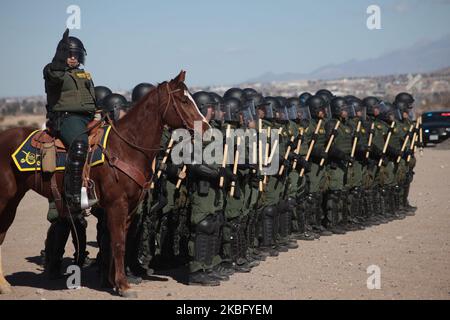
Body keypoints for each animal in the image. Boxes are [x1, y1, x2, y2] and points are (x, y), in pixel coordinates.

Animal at [0, 70, 207, 298]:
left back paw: (4, 285)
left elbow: (114, 241)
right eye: (183, 100)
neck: (125, 147)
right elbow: (118, 242)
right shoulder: (117, 205)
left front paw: (112, 282)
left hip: (12, 202)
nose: (206, 127)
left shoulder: (127, 208)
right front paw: (123, 285)